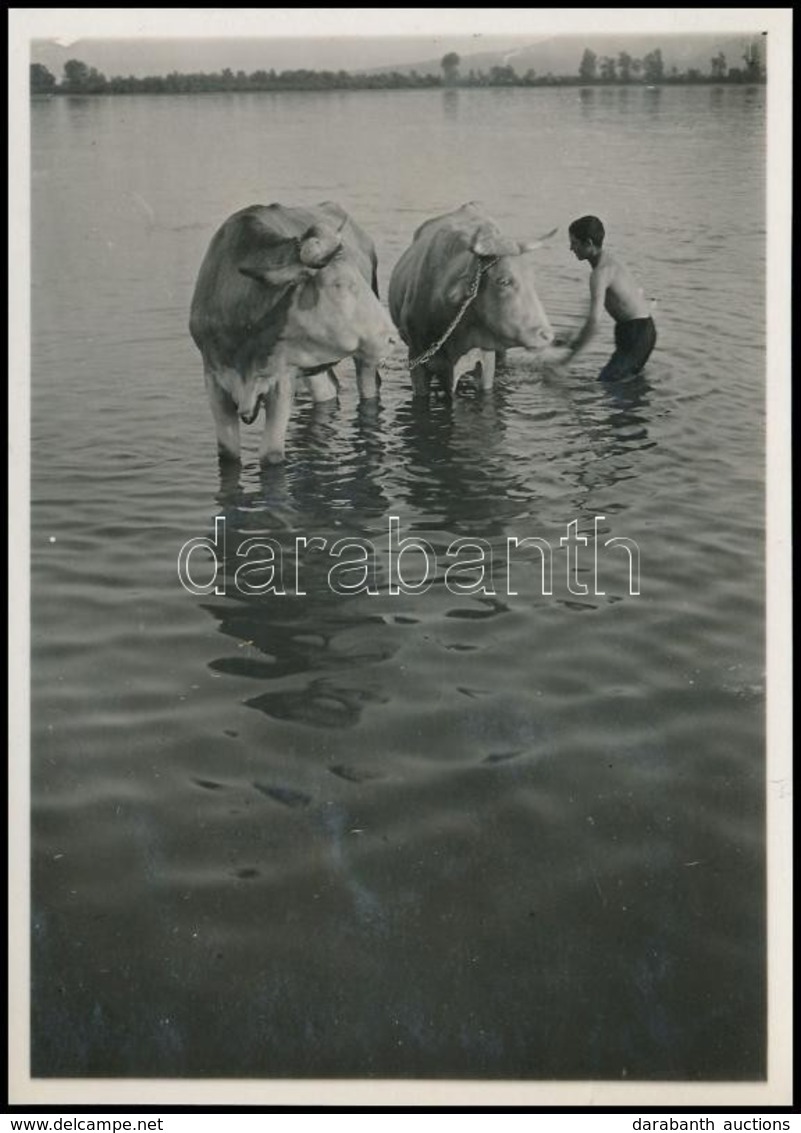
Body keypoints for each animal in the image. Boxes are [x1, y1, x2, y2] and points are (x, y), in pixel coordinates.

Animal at [191, 203, 398, 464]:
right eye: (338, 284)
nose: (391, 337)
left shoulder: (282, 381)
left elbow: (271, 455)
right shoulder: (213, 382)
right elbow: (228, 455)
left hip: (365, 357)